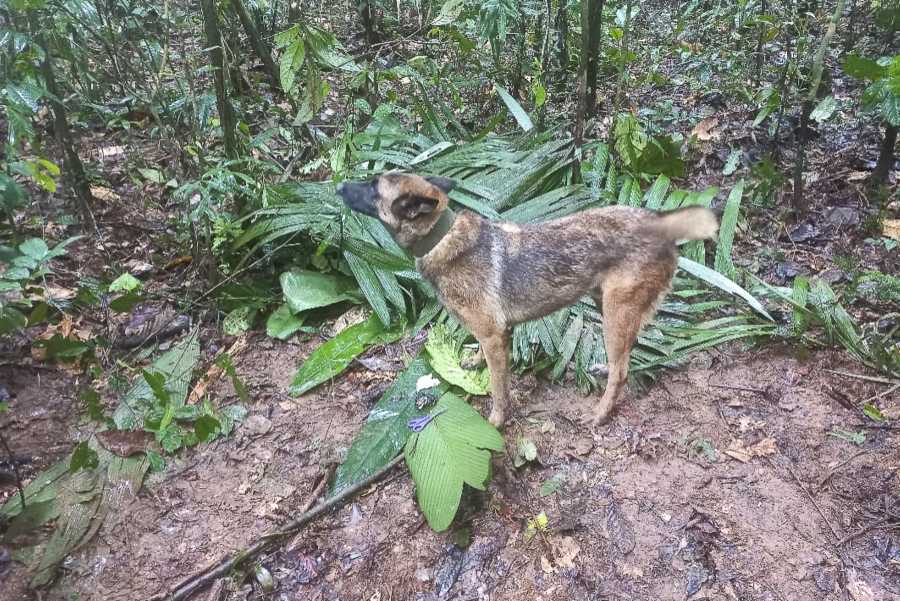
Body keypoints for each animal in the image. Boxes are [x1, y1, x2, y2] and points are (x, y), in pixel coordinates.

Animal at [336, 171, 716, 428]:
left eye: (373, 187)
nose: (338, 186)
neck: (441, 238)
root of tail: (659, 223)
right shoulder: (493, 335)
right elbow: (483, 359)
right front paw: (475, 363)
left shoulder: (494, 335)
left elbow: (498, 388)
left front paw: (496, 421)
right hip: (605, 306)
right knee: (623, 357)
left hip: (616, 311)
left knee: (622, 371)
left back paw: (600, 412)